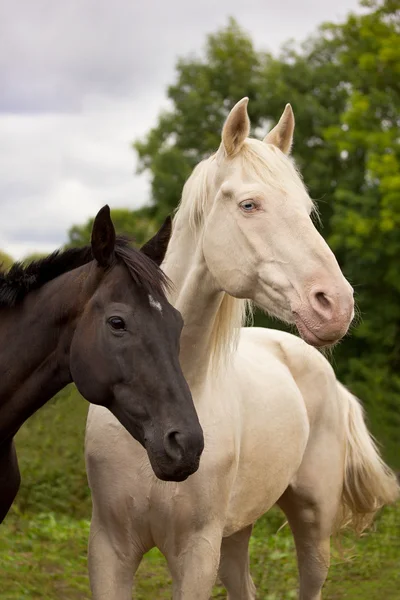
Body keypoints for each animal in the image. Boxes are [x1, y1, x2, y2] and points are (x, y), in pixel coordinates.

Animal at [84, 101, 396, 596]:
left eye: (307, 210)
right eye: (250, 204)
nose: (336, 305)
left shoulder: (196, 553)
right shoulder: (109, 549)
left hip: (311, 523)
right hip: (236, 531)